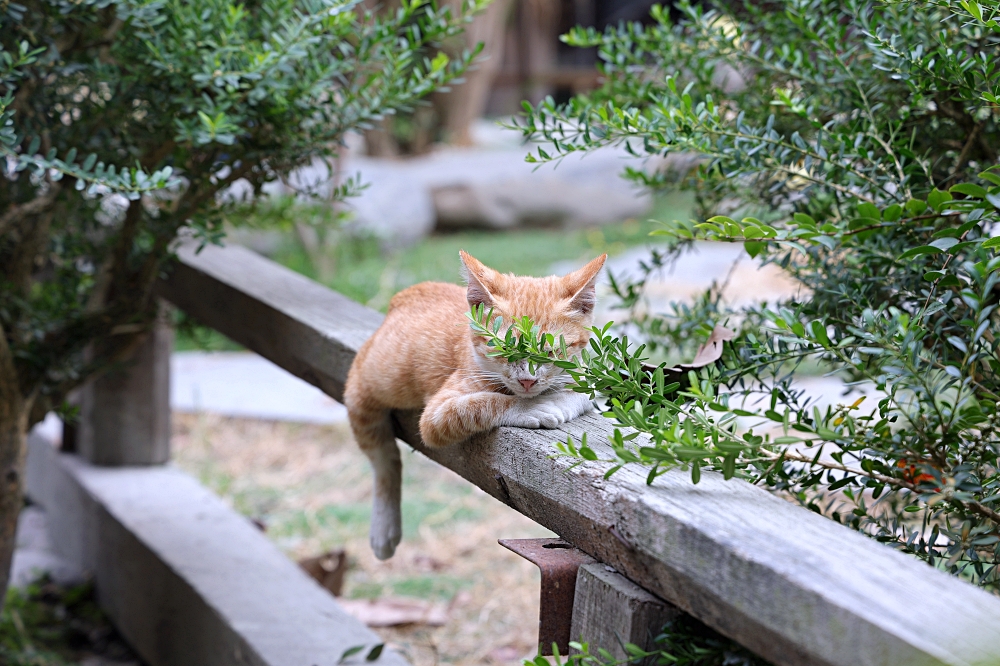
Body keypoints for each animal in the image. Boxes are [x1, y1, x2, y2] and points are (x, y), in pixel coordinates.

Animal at [344, 249, 608, 556]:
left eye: (551, 352)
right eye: (504, 348)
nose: (527, 381)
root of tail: (403, 295)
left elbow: (582, 389)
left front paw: (566, 397)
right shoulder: (436, 416)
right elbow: (482, 403)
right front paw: (534, 407)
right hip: (362, 396)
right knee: (385, 459)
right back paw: (384, 528)